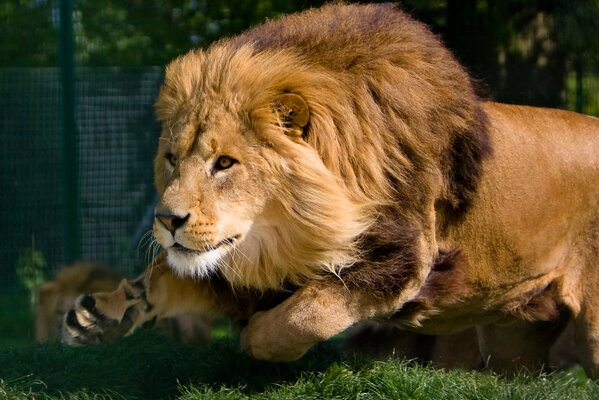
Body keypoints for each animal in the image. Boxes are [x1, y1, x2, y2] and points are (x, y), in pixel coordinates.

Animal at [61, 2, 599, 378]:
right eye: (172, 159)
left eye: (225, 163)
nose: (167, 220)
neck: (284, 235)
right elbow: (166, 277)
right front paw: (102, 314)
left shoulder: (405, 257)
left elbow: (310, 311)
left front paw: (257, 336)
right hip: (515, 337)